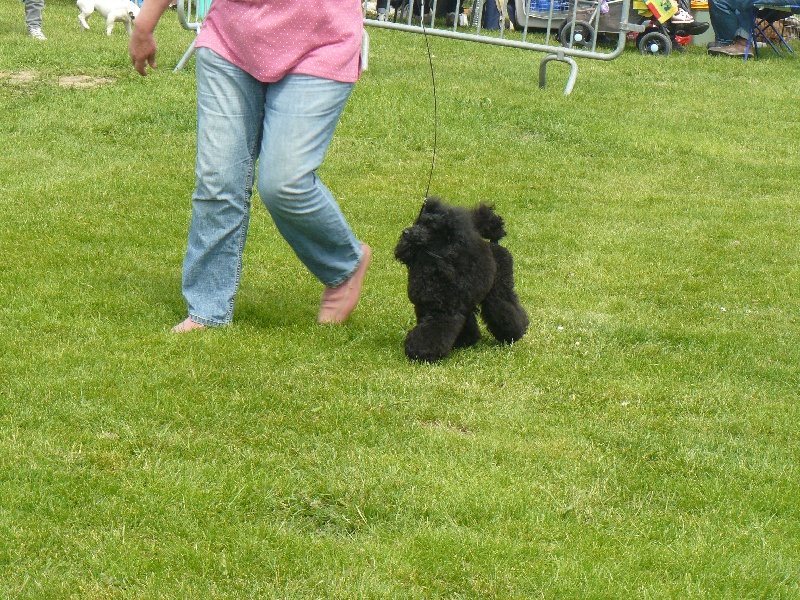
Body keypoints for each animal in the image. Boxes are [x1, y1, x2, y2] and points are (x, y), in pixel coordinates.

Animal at [396, 199, 532, 364]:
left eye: (430, 226)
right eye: (418, 222)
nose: (405, 232)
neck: (433, 264)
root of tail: (495, 244)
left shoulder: (444, 310)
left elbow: (432, 331)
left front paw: (422, 353)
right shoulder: (425, 307)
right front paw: (462, 342)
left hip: (499, 288)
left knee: (504, 306)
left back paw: (514, 332)